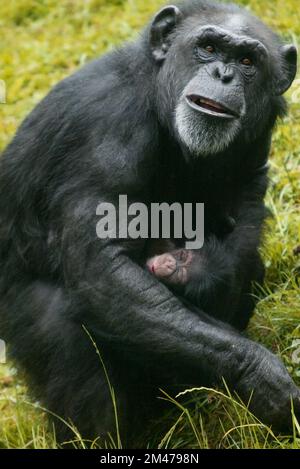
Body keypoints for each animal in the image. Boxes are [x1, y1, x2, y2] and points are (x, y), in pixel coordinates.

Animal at [0, 0, 300, 446]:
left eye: (248, 61)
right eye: (208, 48)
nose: (223, 74)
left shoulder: (257, 135)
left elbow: (242, 214)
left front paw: (193, 270)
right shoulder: (109, 128)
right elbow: (103, 268)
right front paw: (261, 375)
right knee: (68, 339)